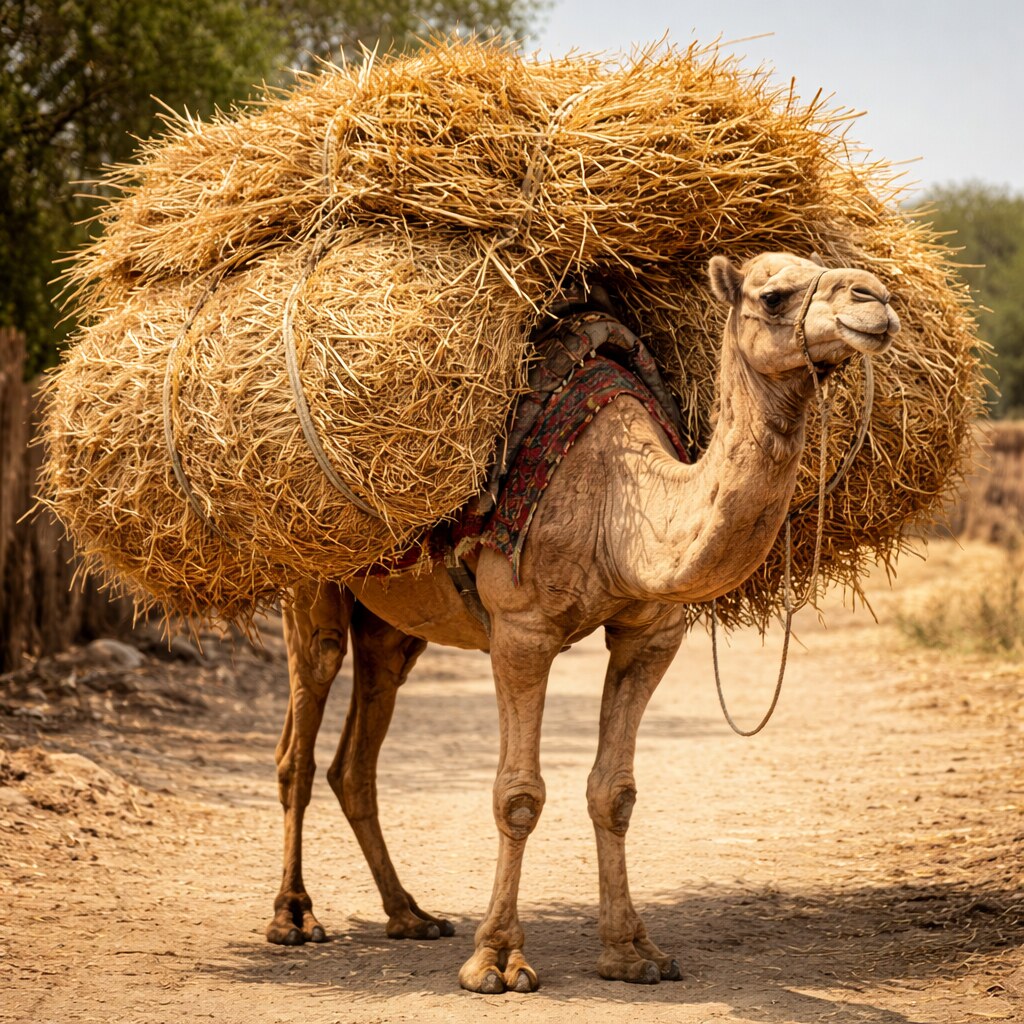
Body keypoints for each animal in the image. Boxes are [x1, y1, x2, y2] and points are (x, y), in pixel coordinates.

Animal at [265, 252, 900, 992]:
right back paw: (293, 917)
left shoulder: (651, 633)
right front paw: (497, 961)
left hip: (394, 624)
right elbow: (517, 795)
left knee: (357, 754)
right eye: (774, 296)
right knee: (300, 740)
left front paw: (633, 952)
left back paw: (410, 914)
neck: (617, 503)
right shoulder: (521, 629)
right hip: (308, 579)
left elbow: (614, 792)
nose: (875, 300)